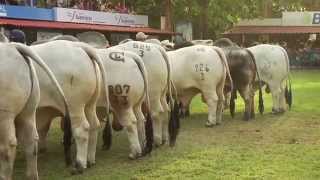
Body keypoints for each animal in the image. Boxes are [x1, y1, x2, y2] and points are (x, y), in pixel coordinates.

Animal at [30, 40, 110, 174]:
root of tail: (79, 46)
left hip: (74, 106)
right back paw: (90, 160)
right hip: (90, 104)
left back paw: (80, 165)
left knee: (82, 129)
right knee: (94, 125)